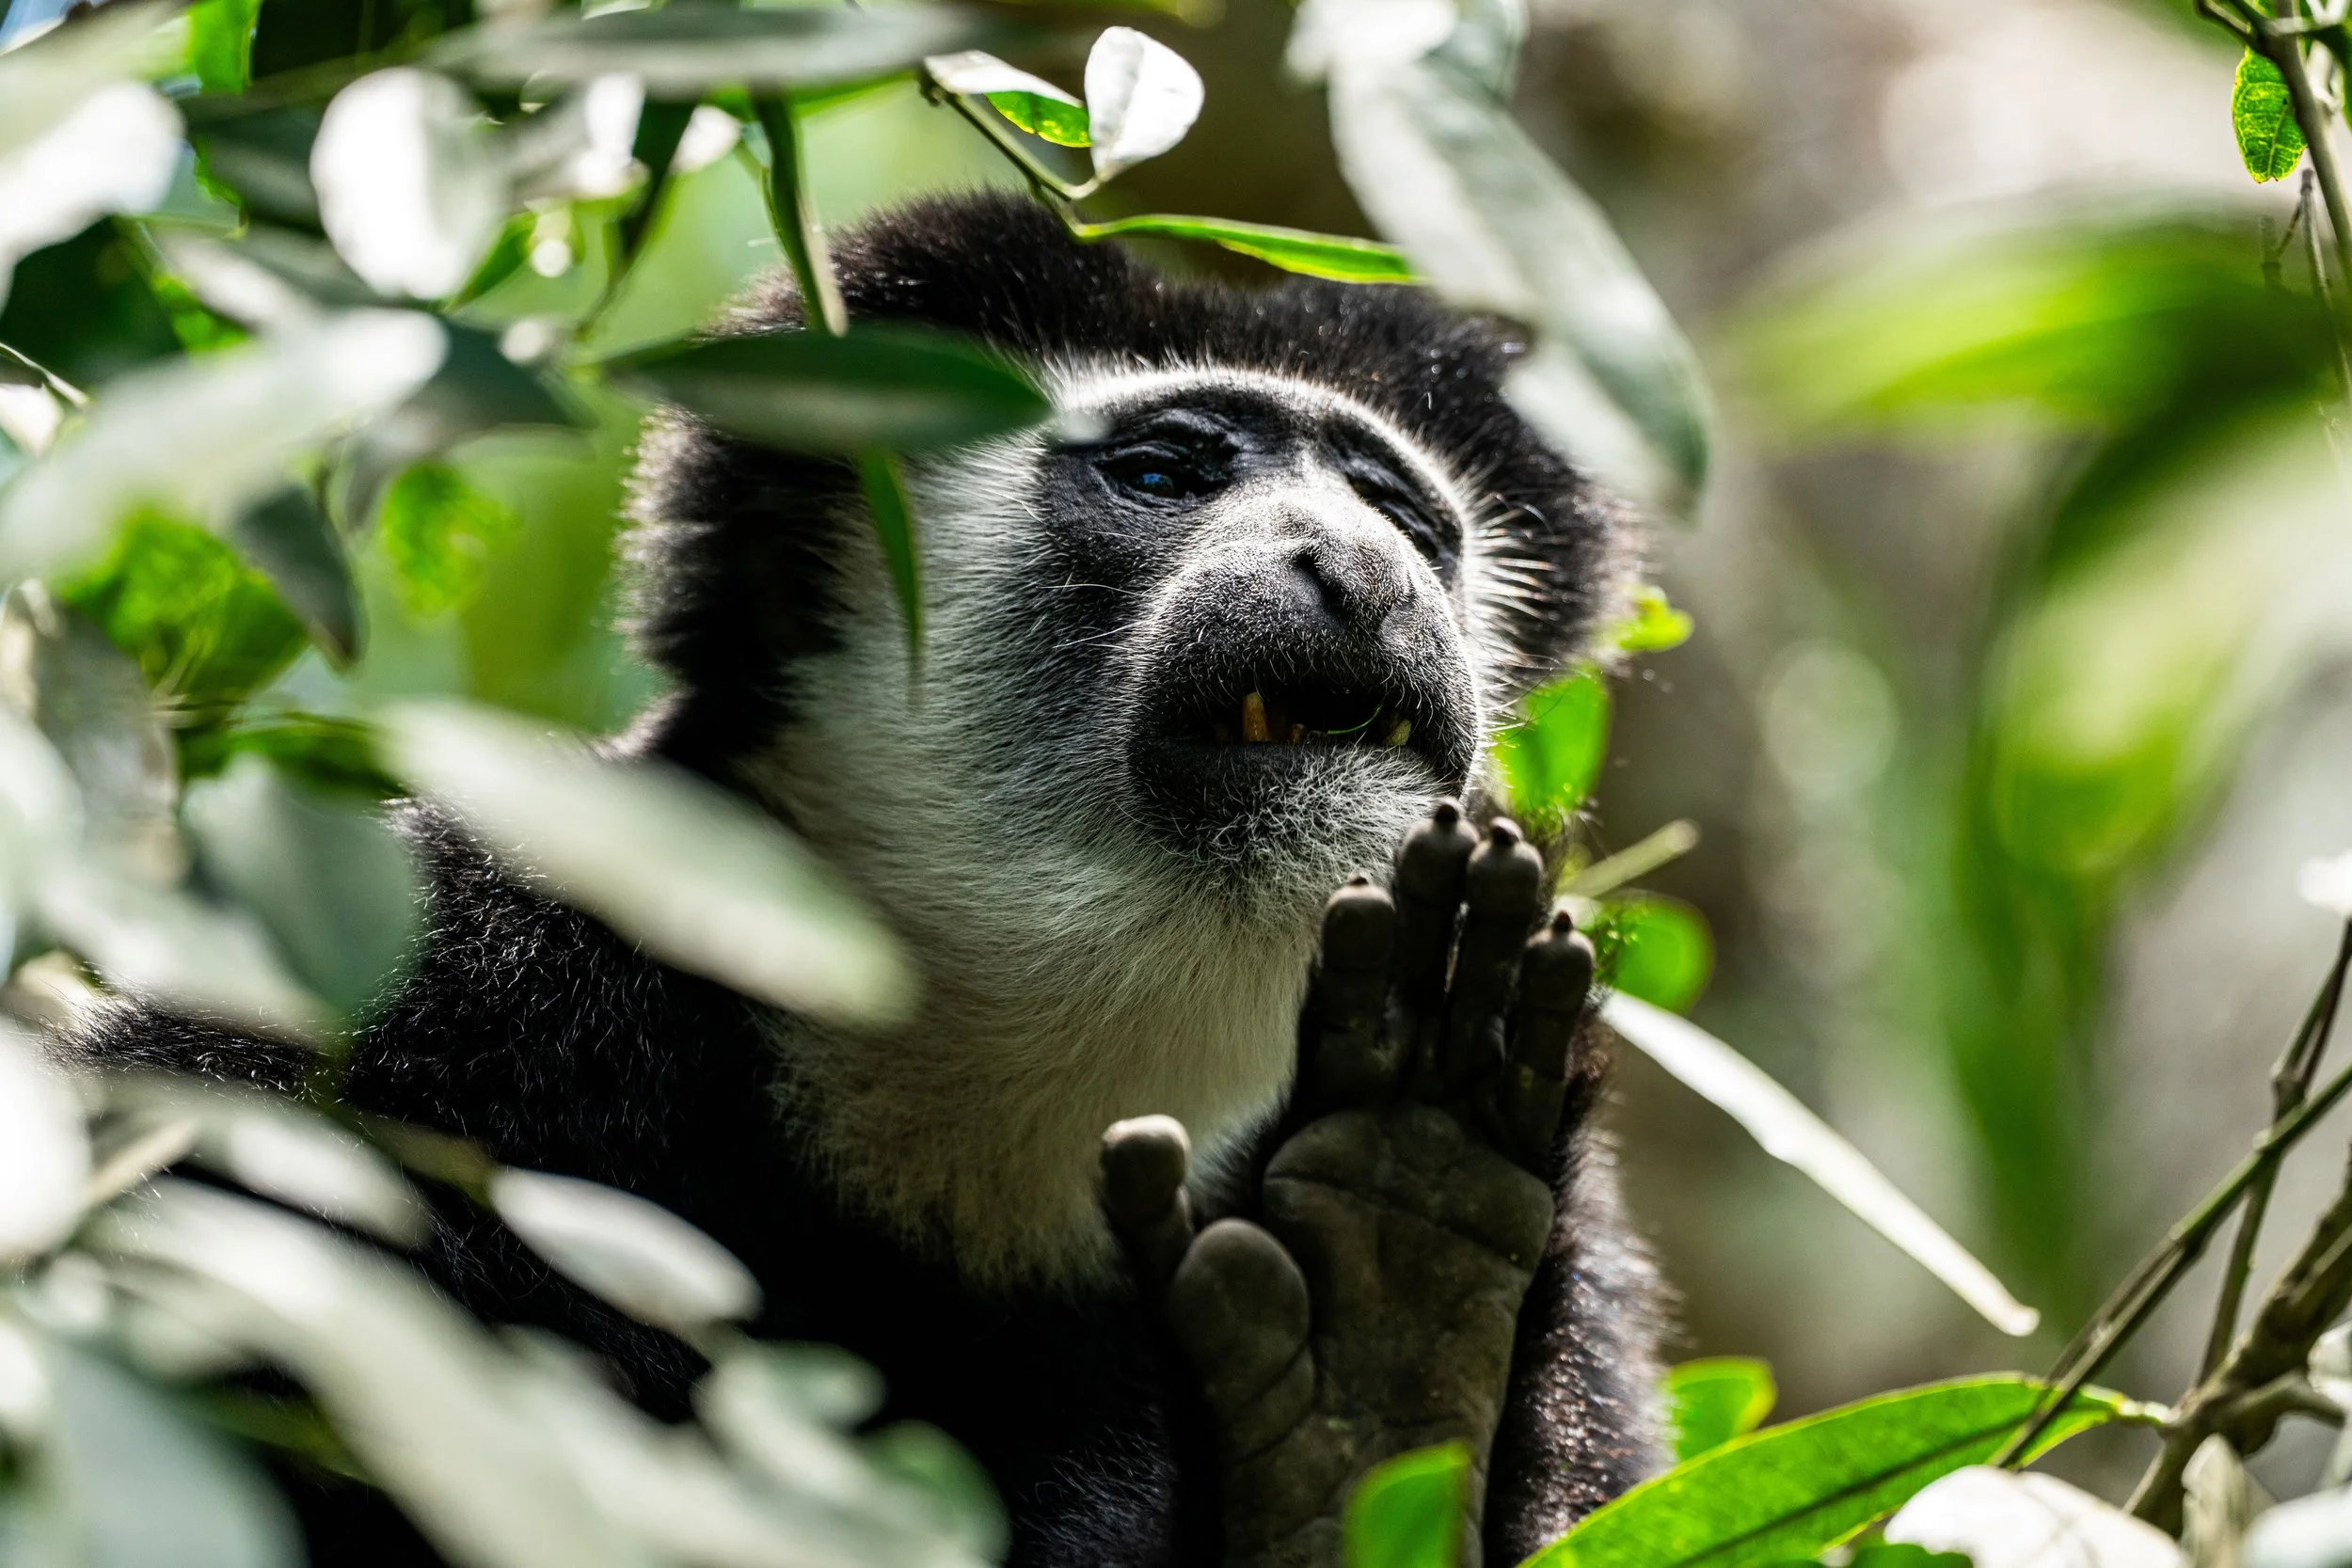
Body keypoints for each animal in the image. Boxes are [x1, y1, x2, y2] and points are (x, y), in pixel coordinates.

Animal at [79, 192, 1665, 1568]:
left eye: (1408, 519)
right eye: (1166, 473)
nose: (1365, 570)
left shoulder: (1586, 1304)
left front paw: (1379, 1349)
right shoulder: (437, 983)